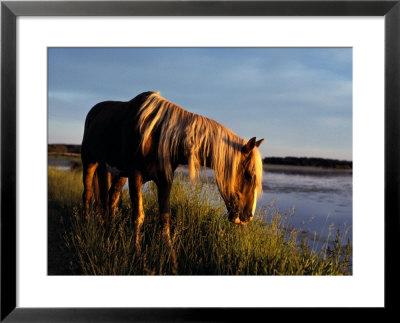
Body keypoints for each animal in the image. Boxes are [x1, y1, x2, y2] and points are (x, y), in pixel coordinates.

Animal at [81, 91, 264, 253]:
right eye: (249, 175)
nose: (247, 217)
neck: (157, 135)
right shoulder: (135, 177)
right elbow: (138, 215)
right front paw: (135, 250)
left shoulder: (165, 180)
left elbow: (165, 216)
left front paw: (168, 251)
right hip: (90, 162)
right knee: (88, 195)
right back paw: (87, 226)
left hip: (118, 173)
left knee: (111, 196)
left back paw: (109, 229)